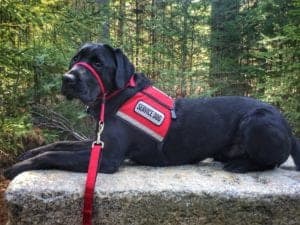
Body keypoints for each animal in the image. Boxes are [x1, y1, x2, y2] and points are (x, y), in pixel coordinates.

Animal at [4, 42, 300, 179]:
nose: (67, 79)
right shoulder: (98, 142)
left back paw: (240, 164)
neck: (117, 96)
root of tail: (288, 127)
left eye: (98, 63)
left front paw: (17, 167)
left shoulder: (108, 156)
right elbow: (59, 144)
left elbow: (54, 154)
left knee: (272, 161)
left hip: (258, 121)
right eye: (76, 59)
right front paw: (28, 153)